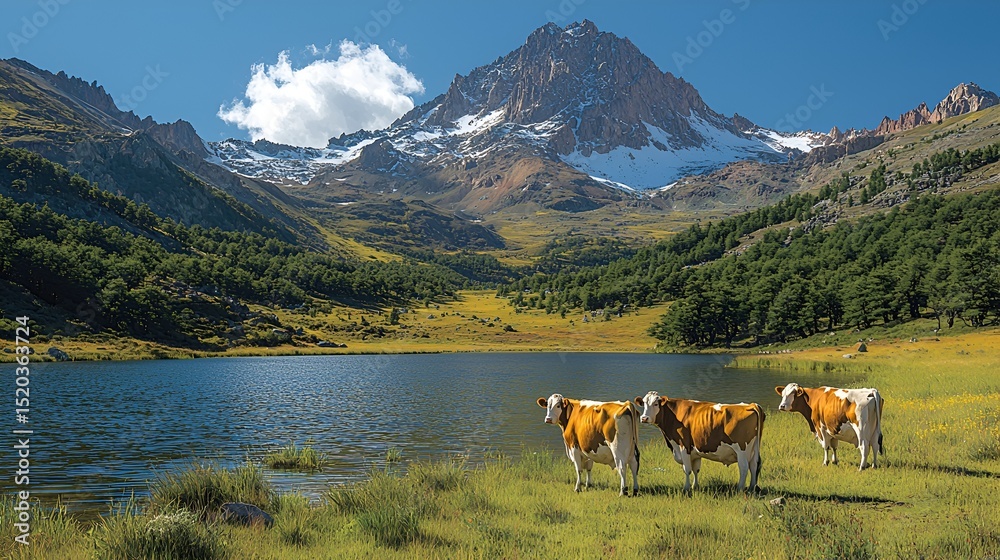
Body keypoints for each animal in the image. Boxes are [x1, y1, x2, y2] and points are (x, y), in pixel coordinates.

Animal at [634, 391, 764, 493]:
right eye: (644, 404)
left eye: (656, 404)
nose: (644, 418)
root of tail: (751, 405)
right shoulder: (694, 451)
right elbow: (696, 469)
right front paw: (694, 486)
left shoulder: (683, 445)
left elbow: (687, 469)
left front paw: (686, 488)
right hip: (754, 449)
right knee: (754, 466)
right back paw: (752, 488)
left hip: (742, 449)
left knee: (744, 467)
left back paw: (739, 489)